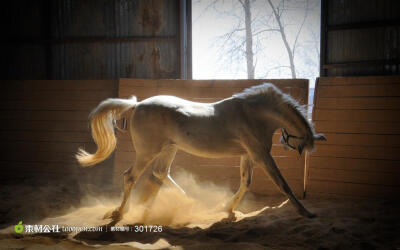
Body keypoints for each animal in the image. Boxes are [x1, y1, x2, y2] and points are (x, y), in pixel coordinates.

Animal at [76, 83, 324, 221]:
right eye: (301, 145)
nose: (288, 145)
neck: (252, 114)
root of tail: (137, 105)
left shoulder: (248, 155)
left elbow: (246, 182)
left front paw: (228, 210)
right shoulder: (261, 155)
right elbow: (282, 184)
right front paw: (306, 212)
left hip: (169, 149)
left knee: (159, 174)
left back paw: (181, 204)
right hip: (147, 151)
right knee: (130, 177)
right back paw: (119, 213)